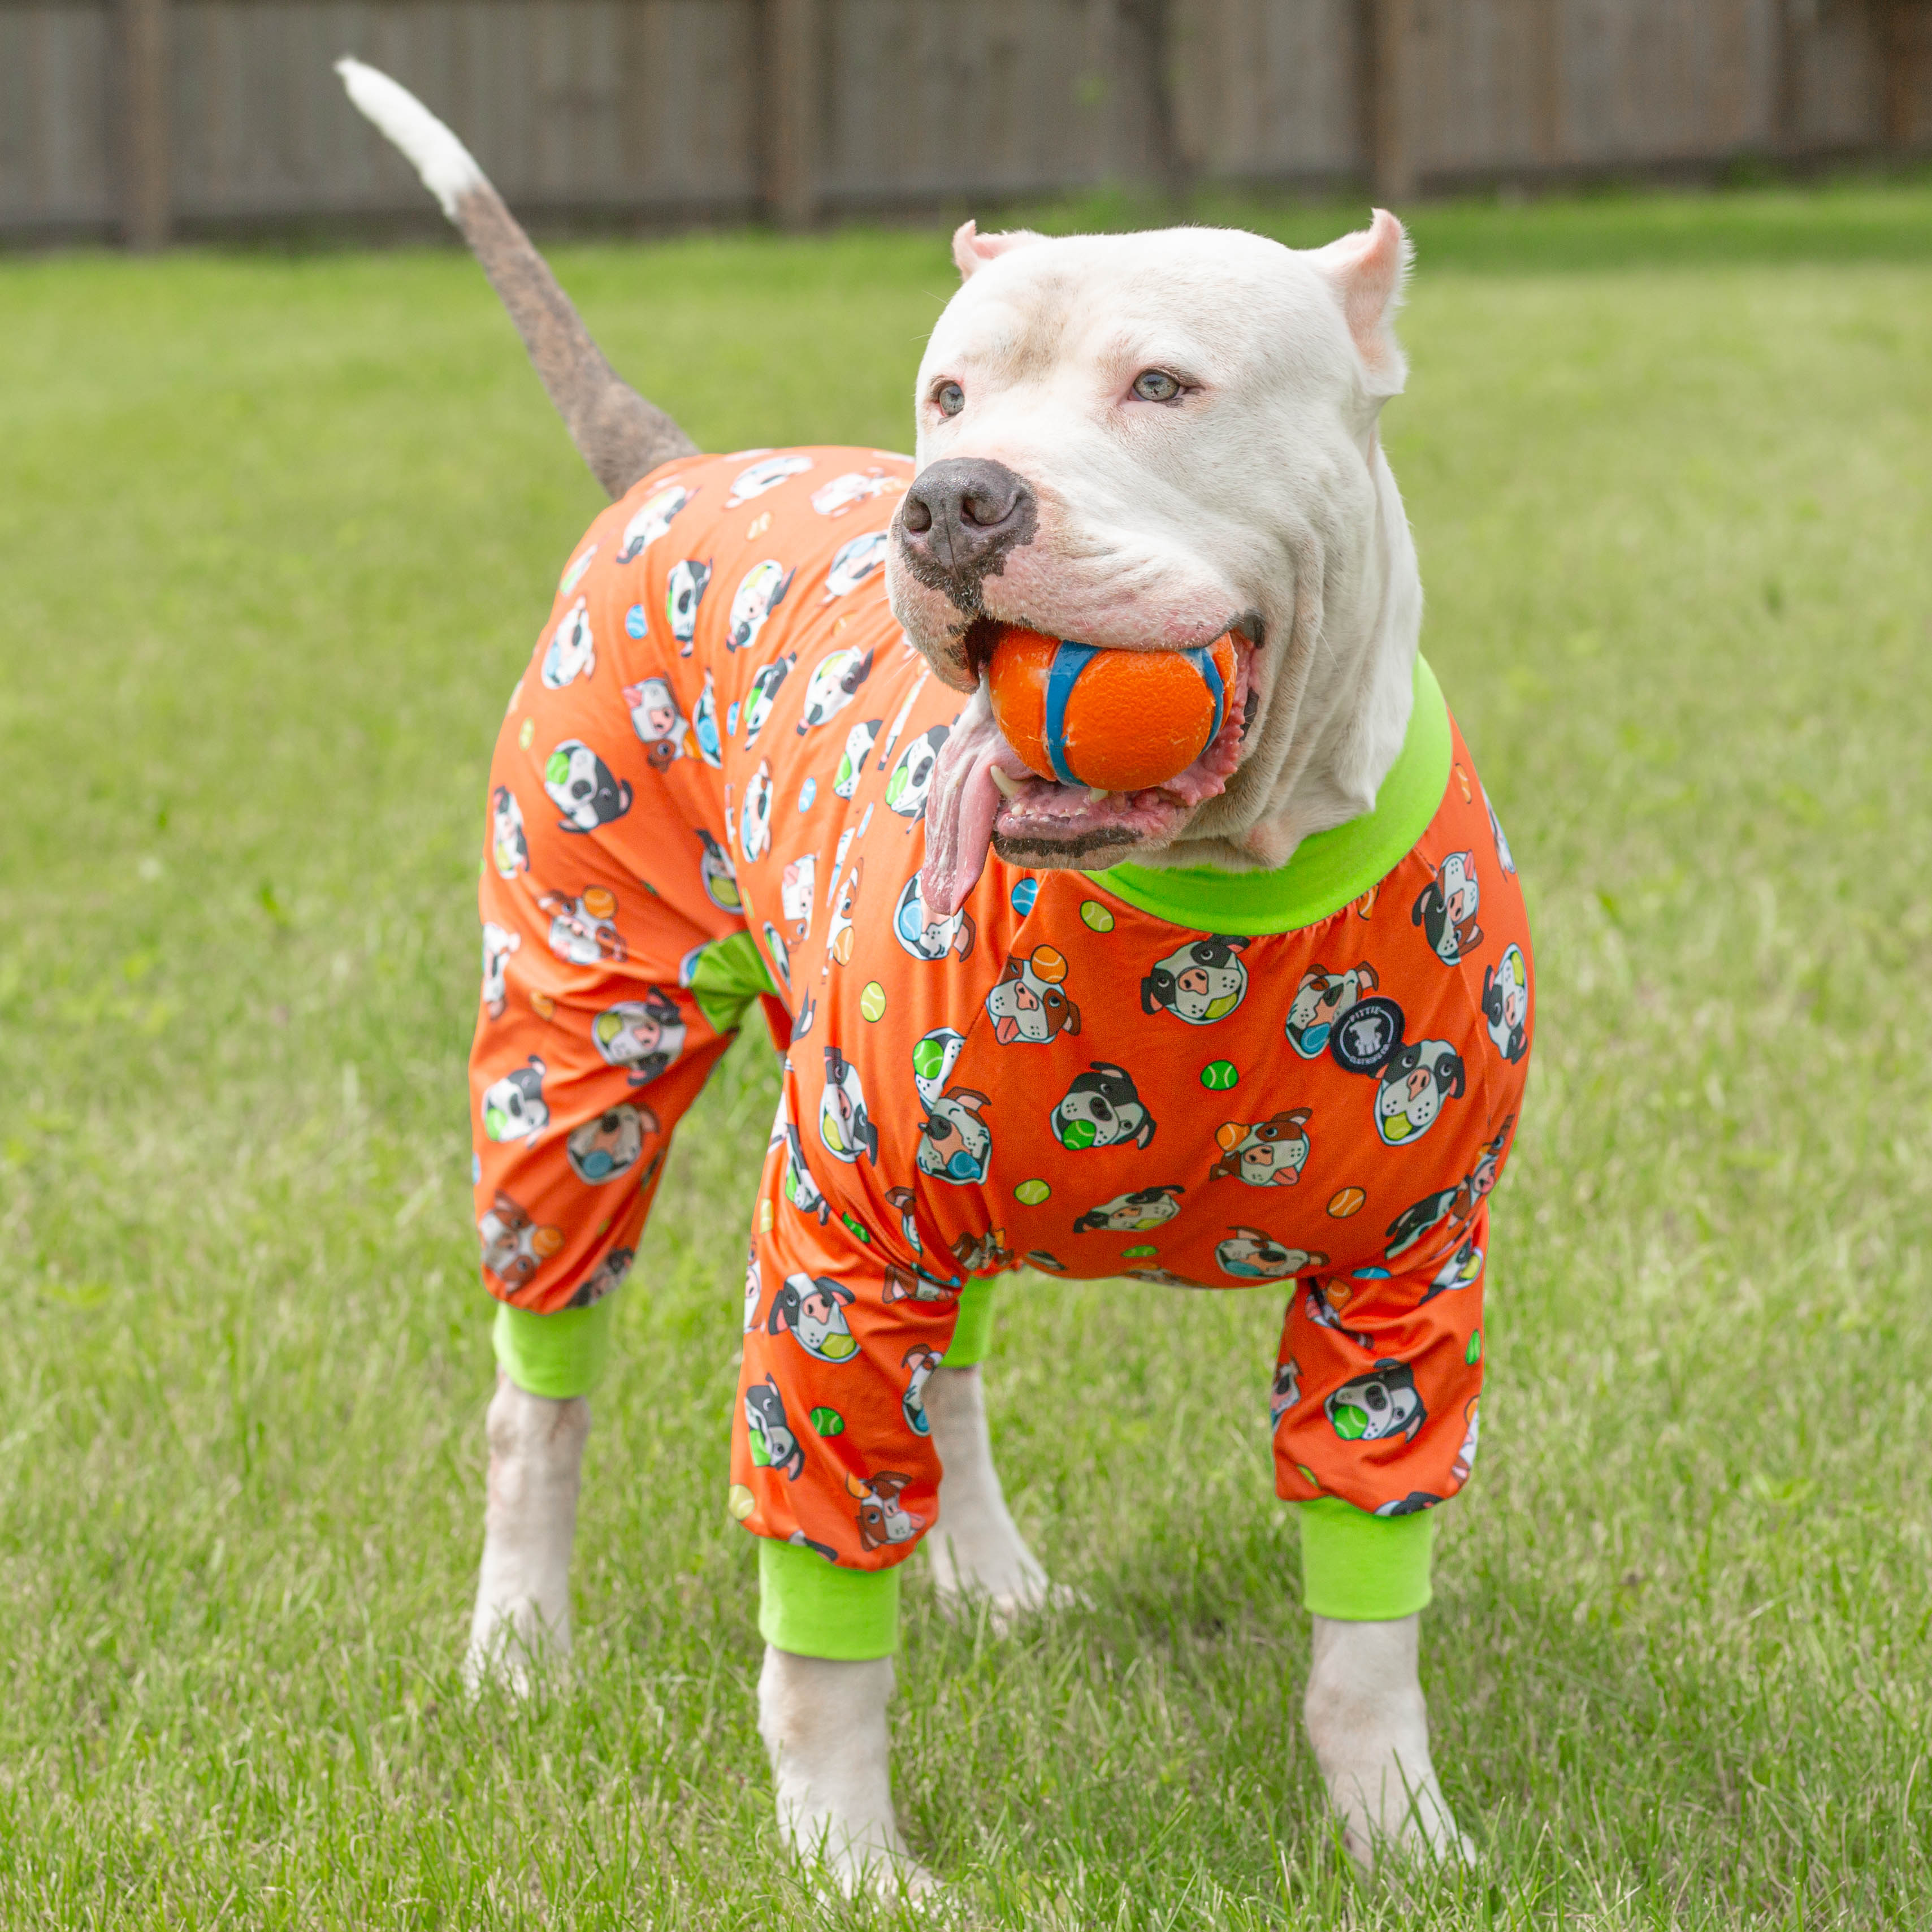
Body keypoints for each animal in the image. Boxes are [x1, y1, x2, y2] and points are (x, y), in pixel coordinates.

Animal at [344, 56, 1476, 1901]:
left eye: (1163, 383)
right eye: (948, 392)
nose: (952, 498)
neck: (1211, 893)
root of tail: (672, 468)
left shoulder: (1406, 1280)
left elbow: (1369, 1623)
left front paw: (1405, 1835)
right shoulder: (825, 1251)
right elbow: (819, 1618)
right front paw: (847, 1857)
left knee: (945, 1375)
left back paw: (991, 1577)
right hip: (580, 1041)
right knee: (541, 1378)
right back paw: (516, 1643)